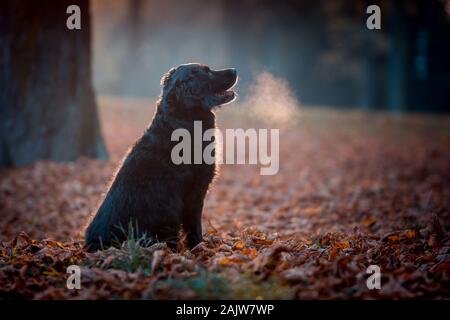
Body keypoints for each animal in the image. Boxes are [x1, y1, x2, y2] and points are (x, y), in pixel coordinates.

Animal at [85, 63, 239, 251]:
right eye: (207, 72)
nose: (234, 70)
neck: (182, 119)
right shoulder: (194, 193)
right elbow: (194, 227)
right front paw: (198, 248)